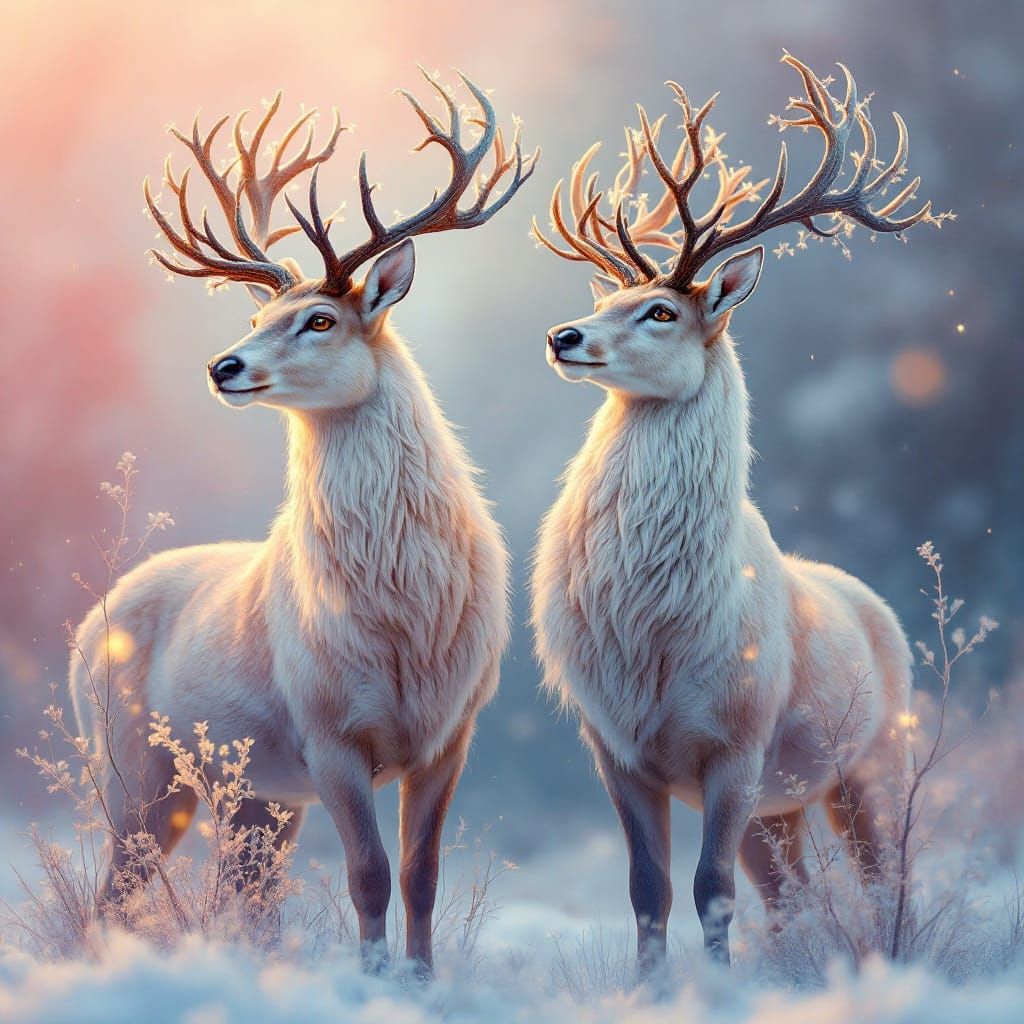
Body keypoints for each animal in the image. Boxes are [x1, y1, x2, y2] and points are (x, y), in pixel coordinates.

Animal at [69, 71, 537, 974]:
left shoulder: (451, 730)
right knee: (113, 891)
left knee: (239, 896)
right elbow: (368, 873)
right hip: (133, 763)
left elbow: (421, 873)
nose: (223, 365)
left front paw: (421, 979)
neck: (403, 618)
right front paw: (372, 978)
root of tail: (87, 623)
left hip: (255, 797)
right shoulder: (327, 730)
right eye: (256, 319)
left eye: (320, 320)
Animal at [530, 54, 949, 971]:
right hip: (781, 807)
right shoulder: (614, 747)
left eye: (661, 310)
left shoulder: (739, 740)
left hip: (872, 760)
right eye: (608, 299)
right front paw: (652, 987)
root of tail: (876, 606)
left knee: (886, 875)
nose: (563, 335)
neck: (649, 629)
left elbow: (710, 891)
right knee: (793, 896)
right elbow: (649, 891)